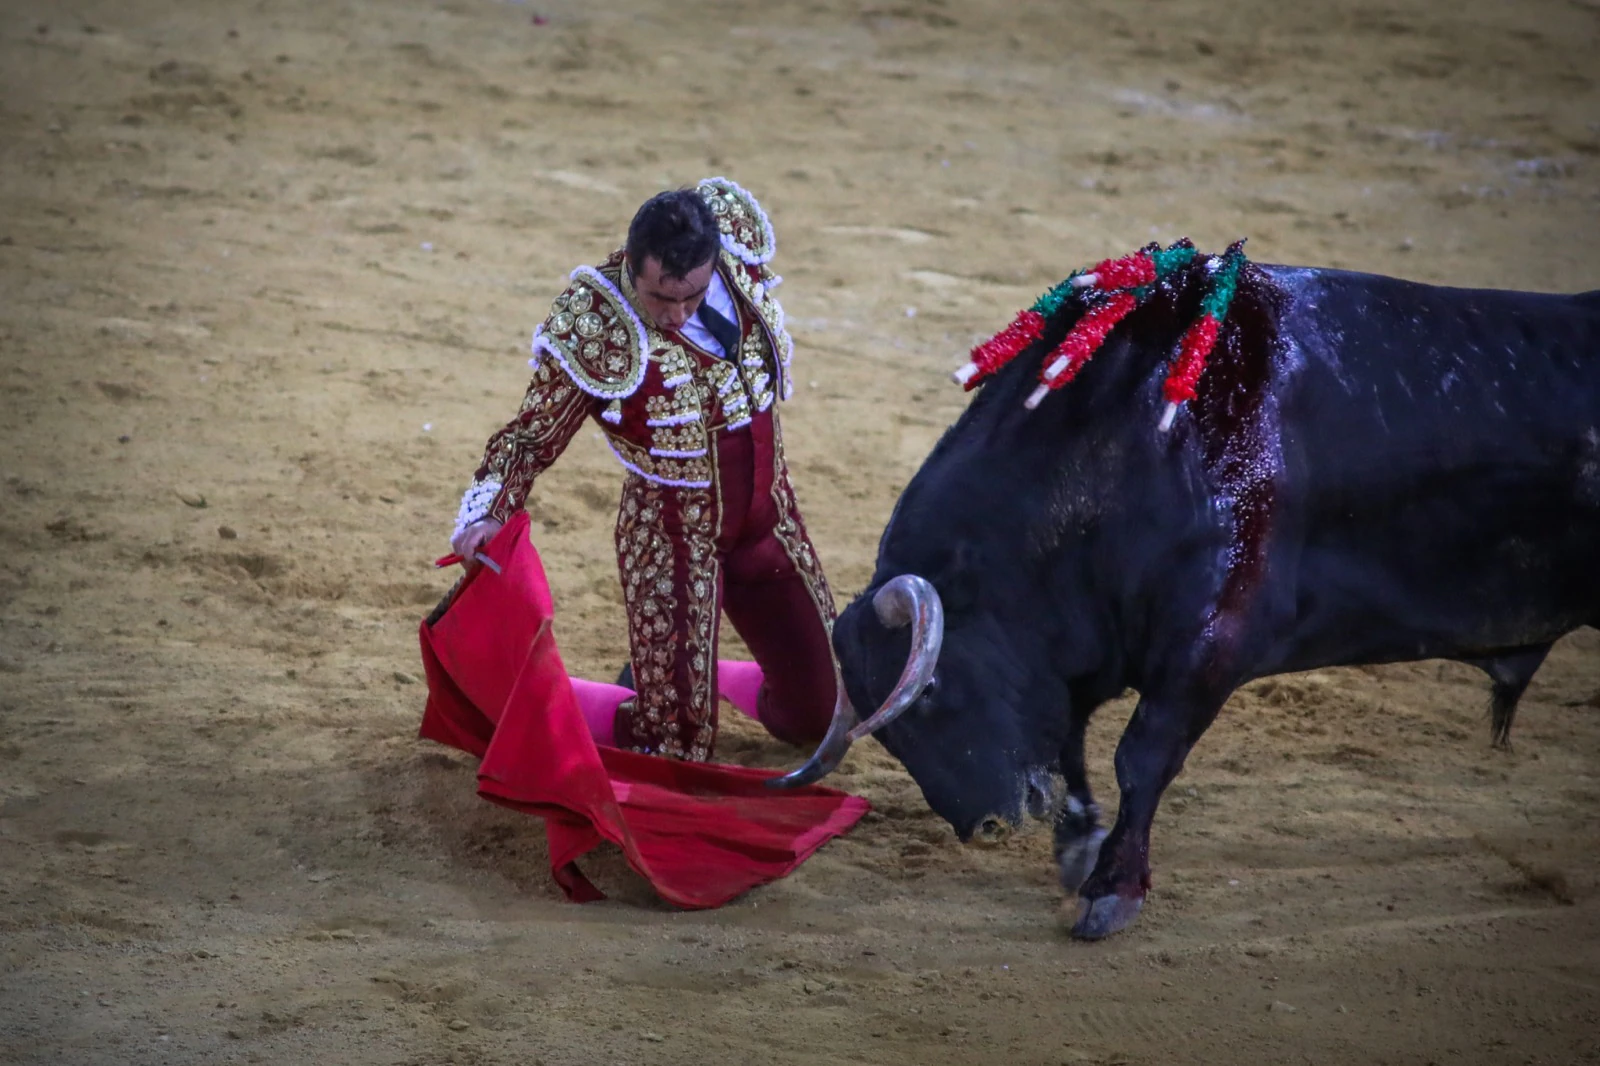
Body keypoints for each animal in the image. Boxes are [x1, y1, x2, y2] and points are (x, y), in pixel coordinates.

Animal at [771, 259, 1600, 941]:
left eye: (934, 692)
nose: (989, 824)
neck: (1135, 442)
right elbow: (1070, 737)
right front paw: (1079, 847)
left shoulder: (1210, 647)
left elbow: (1141, 758)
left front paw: (1111, 891)